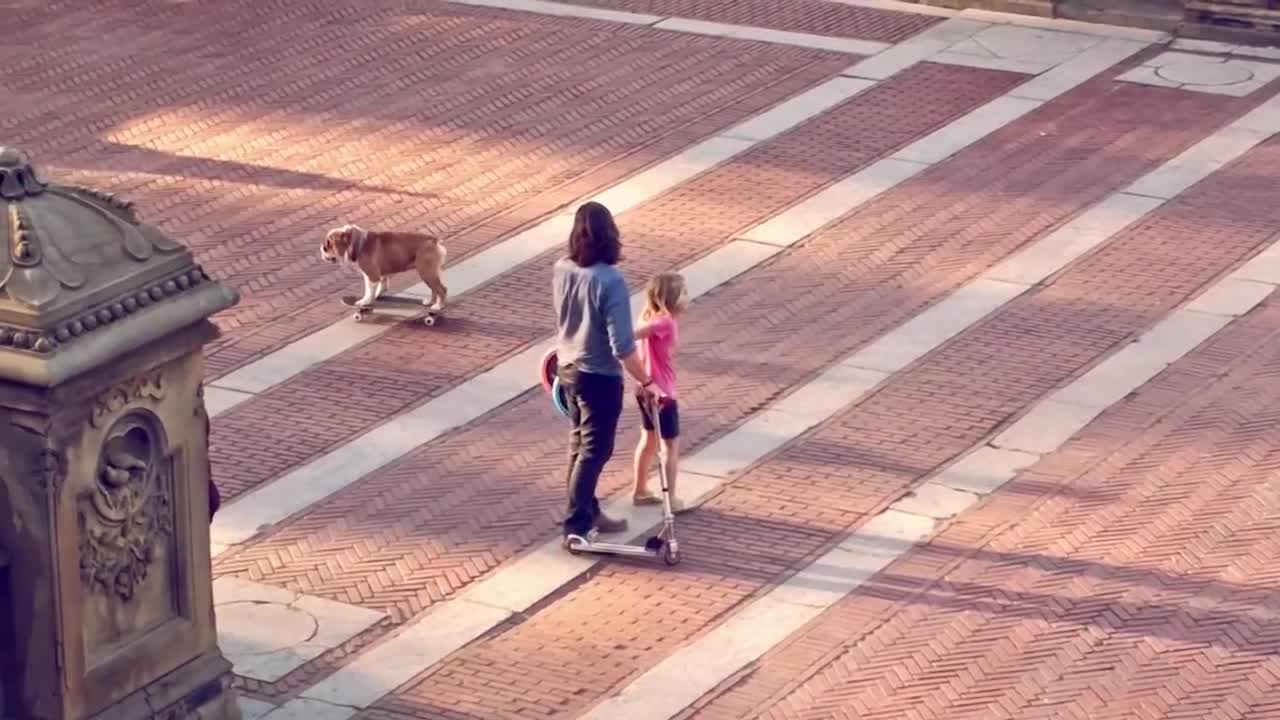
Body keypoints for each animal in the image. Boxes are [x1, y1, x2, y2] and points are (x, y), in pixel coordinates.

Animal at [320, 224, 450, 311]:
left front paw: (365, 301)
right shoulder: (378, 275)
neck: (356, 243)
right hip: (429, 273)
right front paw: (378, 294)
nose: (322, 247)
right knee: (434, 289)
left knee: (441, 289)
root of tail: (434, 240)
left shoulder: (371, 275)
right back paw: (430, 302)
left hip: (426, 273)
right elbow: (382, 284)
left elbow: (368, 290)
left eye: (328, 244)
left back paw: (438, 306)